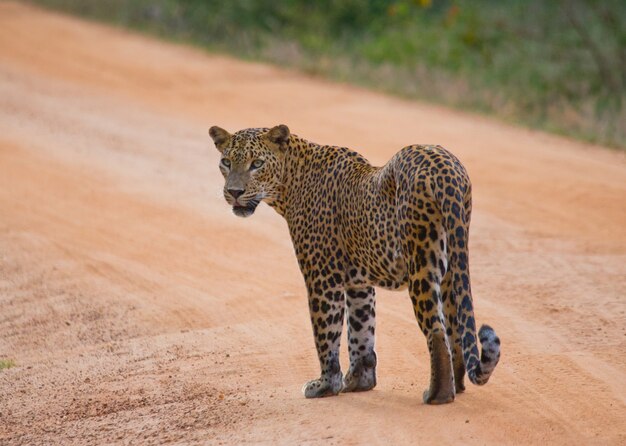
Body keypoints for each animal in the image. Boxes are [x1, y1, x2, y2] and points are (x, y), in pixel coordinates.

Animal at [207, 123, 500, 404]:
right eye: (226, 162)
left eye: (257, 163)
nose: (234, 192)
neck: (290, 182)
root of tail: (445, 168)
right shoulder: (358, 282)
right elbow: (361, 330)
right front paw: (359, 381)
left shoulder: (323, 277)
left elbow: (326, 332)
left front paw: (325, 385)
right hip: (453, 263)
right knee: (455, 327)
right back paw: (457, 384)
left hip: (422, 261)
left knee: (436, 330)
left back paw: (438, 396)